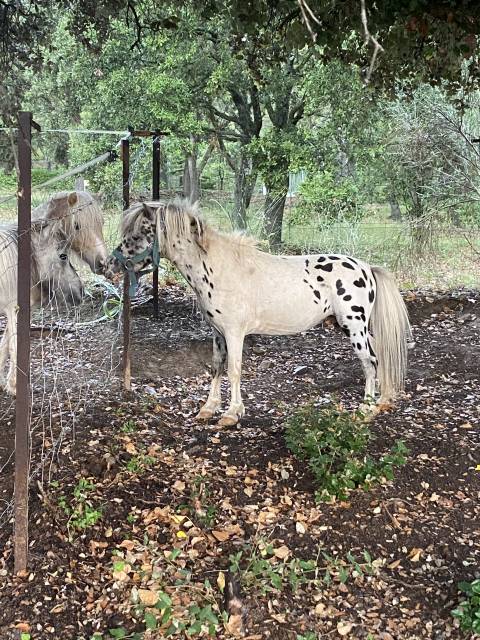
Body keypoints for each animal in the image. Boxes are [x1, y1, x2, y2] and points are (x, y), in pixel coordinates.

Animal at [106, 200, 412, 428]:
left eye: (137, 235)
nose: (109, 264)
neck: (218, 267)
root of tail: (366, 268)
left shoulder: (234, 332)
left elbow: (234, 369)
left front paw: (231, 414)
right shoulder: (217, 333)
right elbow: (217, 366)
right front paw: (208, 409)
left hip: (354, 327)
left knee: (370, 362)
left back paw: (367, 408)